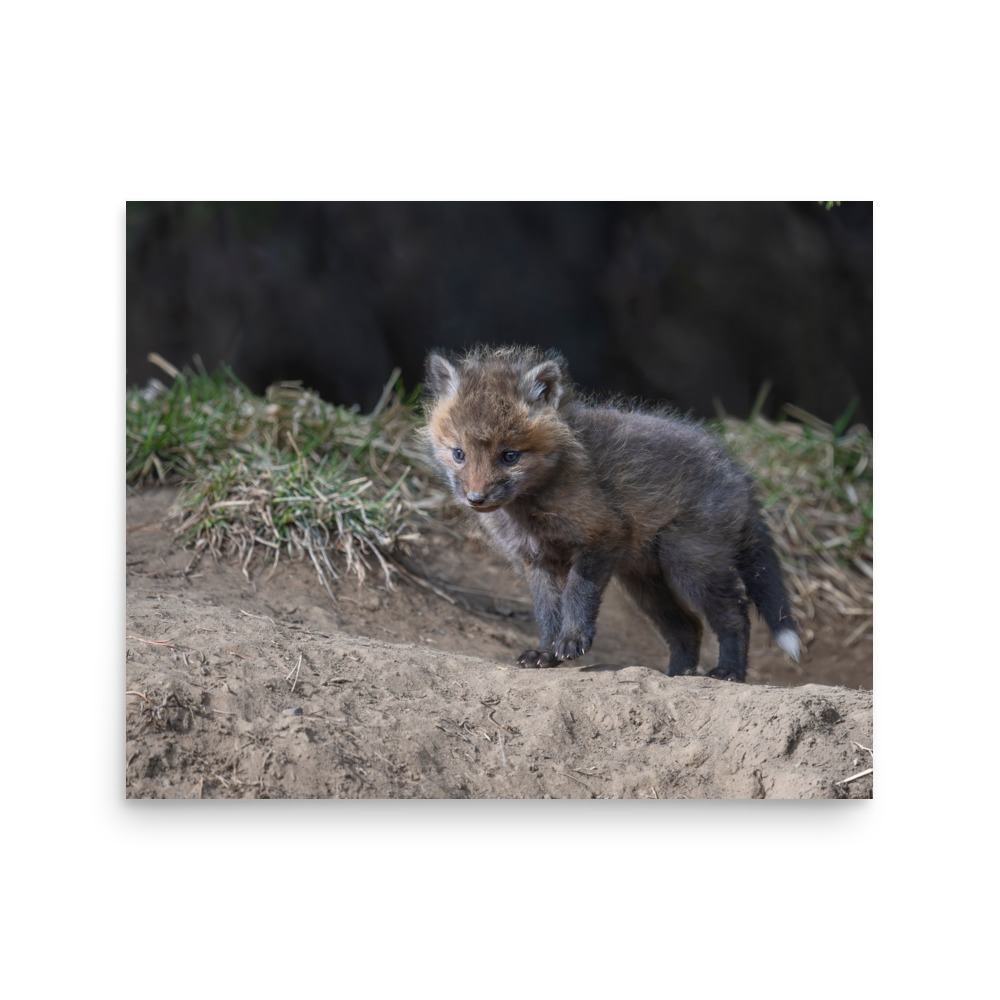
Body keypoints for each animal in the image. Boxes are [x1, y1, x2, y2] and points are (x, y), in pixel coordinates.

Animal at [423, 344, 800, 682]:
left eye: (510, 456)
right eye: (459, 454)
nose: (476, 498)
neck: (532, 509)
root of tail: (739, 474)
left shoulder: (600, 536)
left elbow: (577, 595)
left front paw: (573, 640)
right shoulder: (537, 560)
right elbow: (547, 612)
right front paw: (545, 652)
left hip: (689, 565)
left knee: (735, 614)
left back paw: (729, 672)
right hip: (645, 584)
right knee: (688, 627)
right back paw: (677, 675)